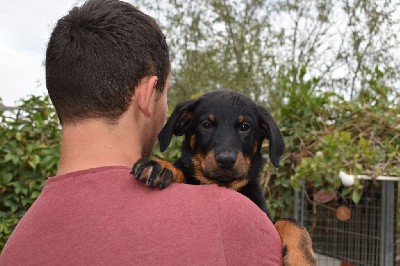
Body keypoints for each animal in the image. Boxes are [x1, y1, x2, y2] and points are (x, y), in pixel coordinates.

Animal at [133, 90, 314, 264]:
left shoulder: (266, 217)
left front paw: (302, 257)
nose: (226, 160)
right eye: (206, 125)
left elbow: (292, 221)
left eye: (245, 127)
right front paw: (164, 166)